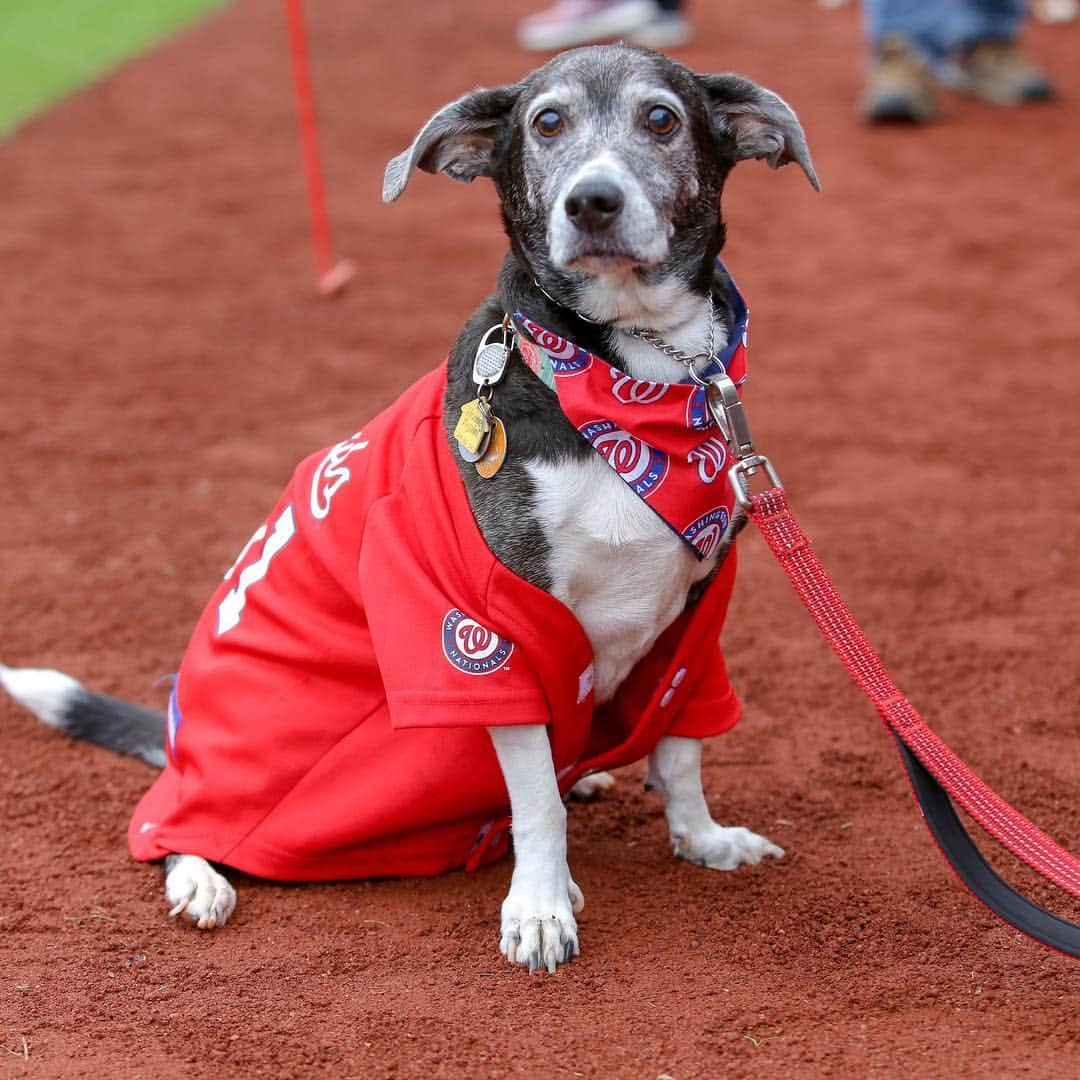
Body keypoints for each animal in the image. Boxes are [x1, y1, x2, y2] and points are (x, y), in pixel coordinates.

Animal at [0, 48, 812, 980]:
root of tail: (179, 741)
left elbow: (679, 750)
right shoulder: (487, 629)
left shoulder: (696, 615)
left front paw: (703, 839)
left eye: (661, 119)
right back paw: (197, 874)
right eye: (547, 122)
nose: (592, 202)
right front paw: (540, 908)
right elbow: (536, 803)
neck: (624, 379)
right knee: (168, 819)